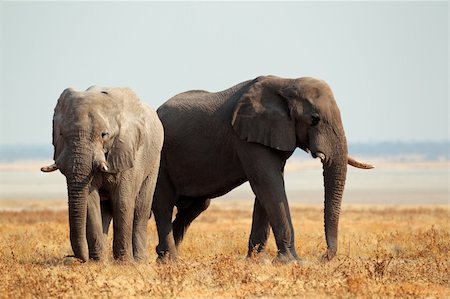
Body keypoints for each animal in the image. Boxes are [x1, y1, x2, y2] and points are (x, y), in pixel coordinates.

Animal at [40, 86, 163, 262]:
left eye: (104, 134)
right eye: (61, 134)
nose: (75, 258)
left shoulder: (129, 149)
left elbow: (123, 201)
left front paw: (125, 263)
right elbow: (91, 202)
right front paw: (99, 262)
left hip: (154, 160)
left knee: (141, 209)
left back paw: (139, 261)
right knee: (105, 210)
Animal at [152, 76, 372, 264]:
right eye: (314, 119)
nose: (323, 256)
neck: (287, 82)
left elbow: (267, 189)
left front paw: (257, 261)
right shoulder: (247, 138)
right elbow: (269, 184)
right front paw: (291, 262)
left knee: (196, 207)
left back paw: (163, 256)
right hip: (160, 159)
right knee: (164, 204)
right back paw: (170, 260)